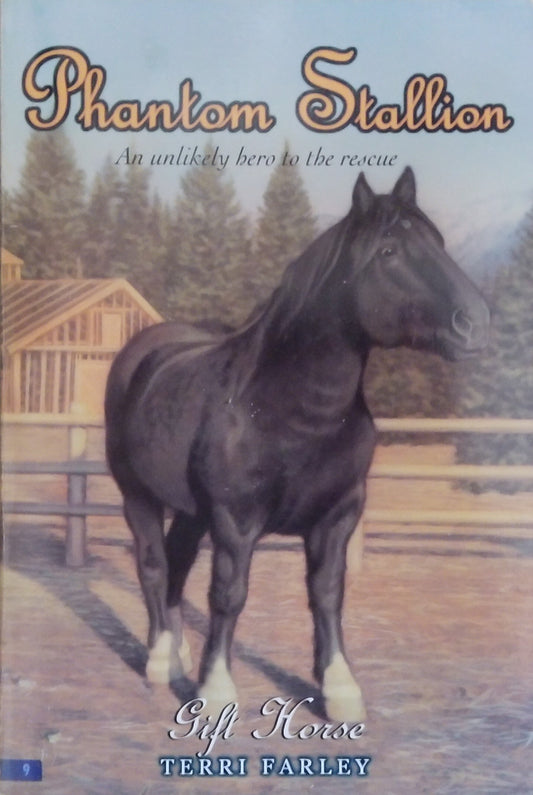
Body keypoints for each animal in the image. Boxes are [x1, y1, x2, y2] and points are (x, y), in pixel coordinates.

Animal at [105, 167, 489, 722]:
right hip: (137, 495)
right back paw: (159, 660)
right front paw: (216, 689)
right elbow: (229, 594)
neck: (293, 412)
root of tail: (144, 351)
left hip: (192, 511)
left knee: (176, 564)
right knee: (154, 567)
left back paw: (177, 654)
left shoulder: (338, 516)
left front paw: (340, 688)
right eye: (389, 251)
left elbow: (327, 593)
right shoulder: (235, 520)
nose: (475, 322)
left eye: (437, 241)